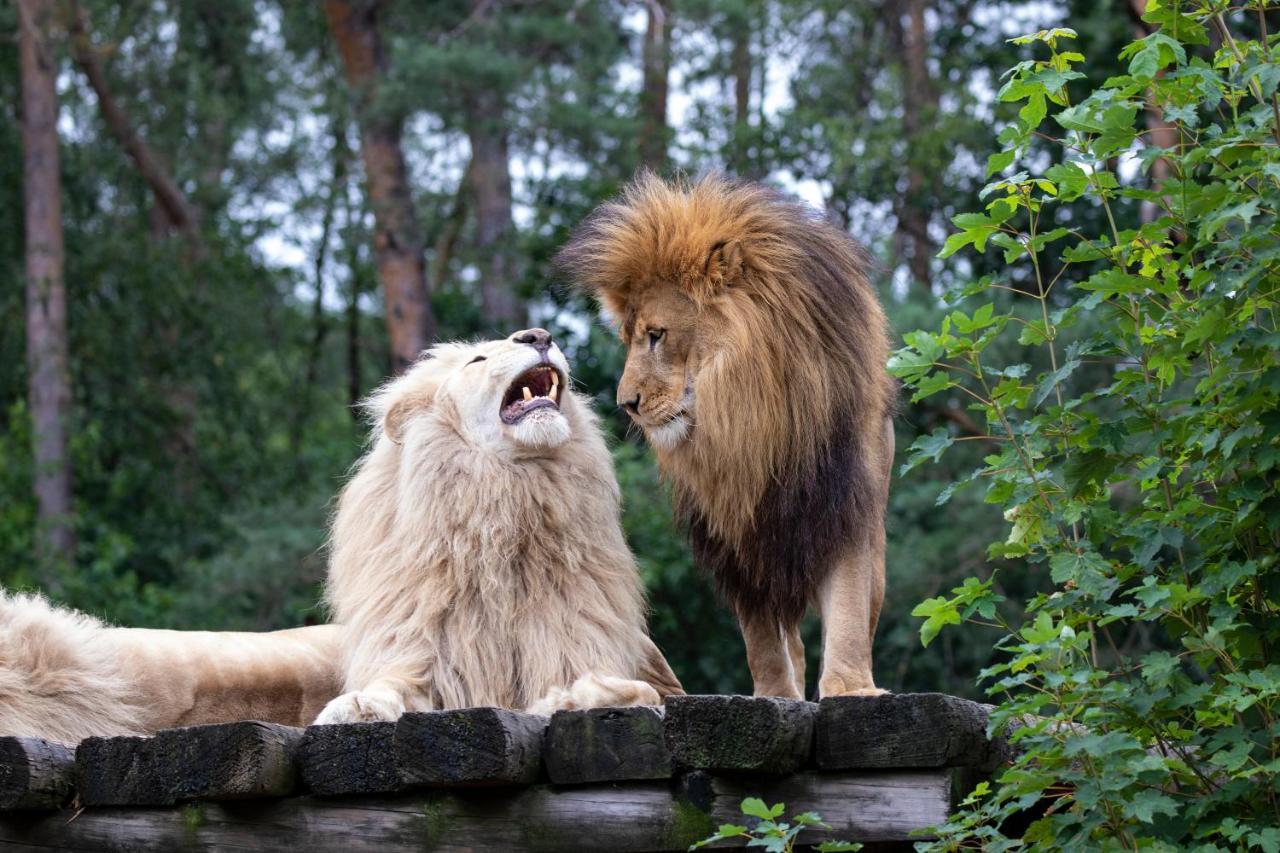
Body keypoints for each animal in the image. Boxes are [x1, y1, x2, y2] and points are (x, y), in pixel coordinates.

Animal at [555, 172, 896, 696]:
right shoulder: (732, 521)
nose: (626, 404)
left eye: (656, 335)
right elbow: (761, 637)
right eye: (628, 338)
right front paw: (775, 695)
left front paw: (850, 688)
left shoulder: (841, 501)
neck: (758, 415)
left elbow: (848, 608)